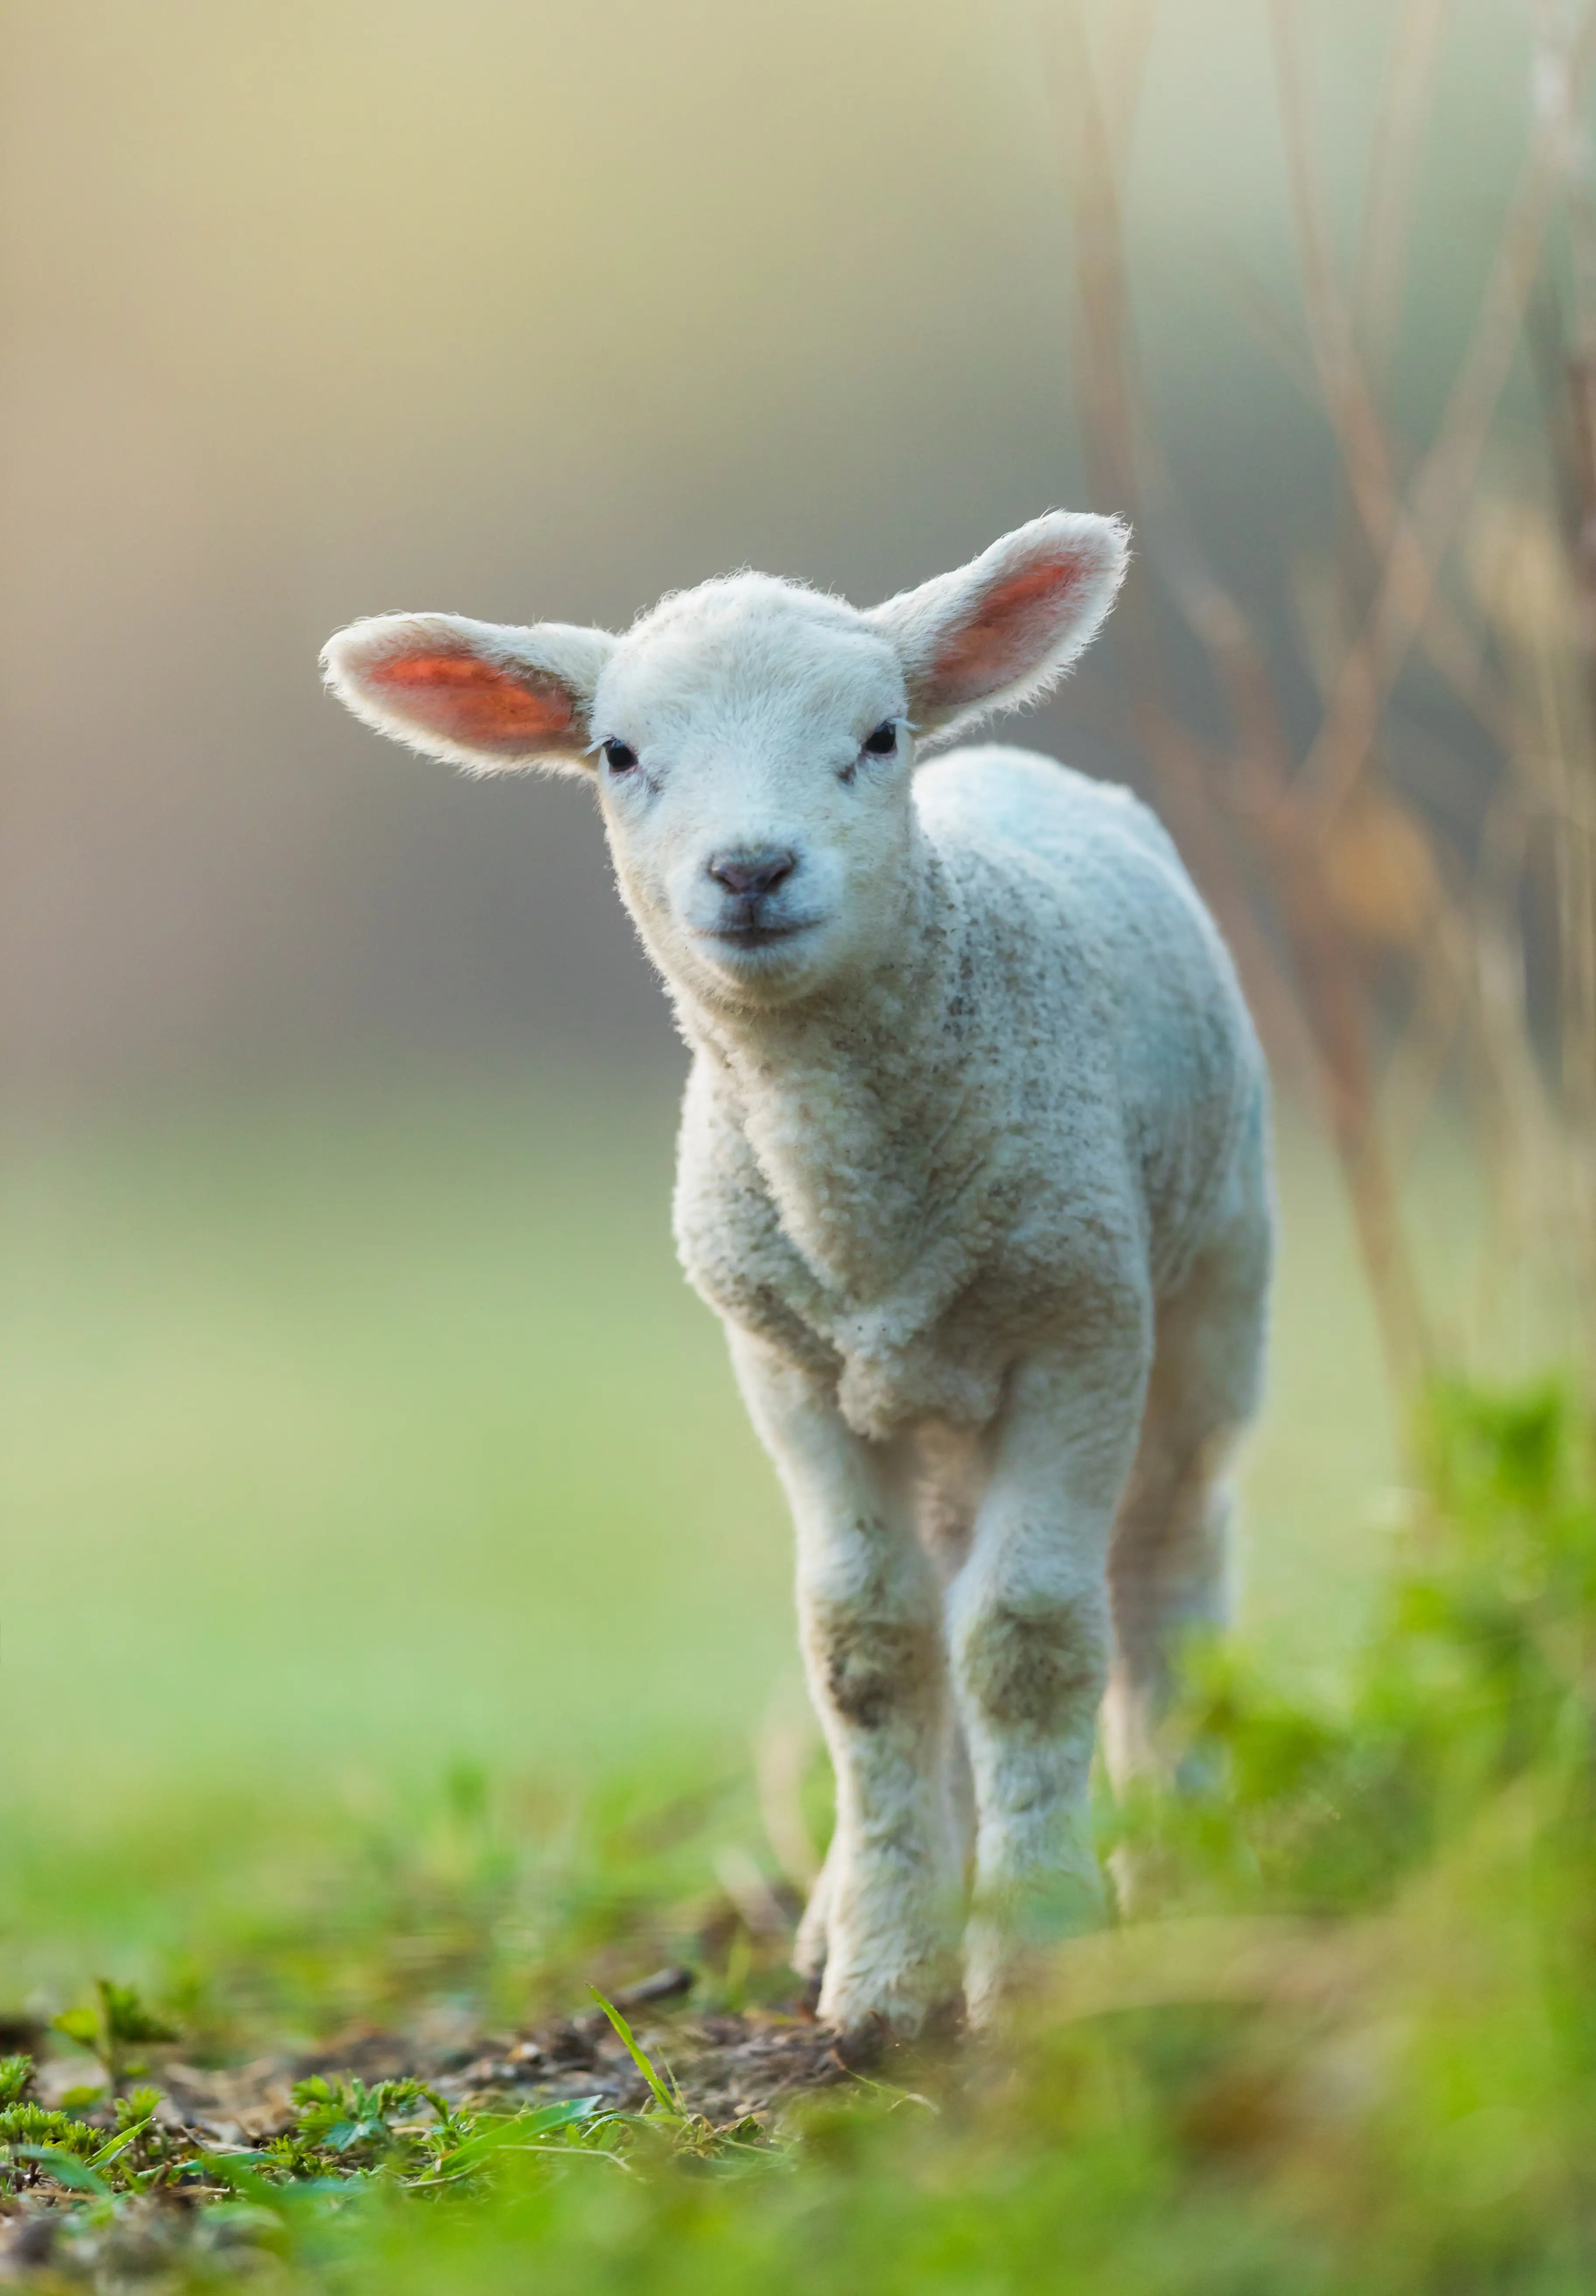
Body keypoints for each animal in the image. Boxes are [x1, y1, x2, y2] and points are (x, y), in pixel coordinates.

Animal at [320, 512, 1273, 2040]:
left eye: (876, 735)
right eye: (619, 754)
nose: (752, 869)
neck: (863, 1215)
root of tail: (1006, 760)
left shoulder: (1080, 1324)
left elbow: (1029, 1638)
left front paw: (1037, 1949)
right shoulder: (788, 1365)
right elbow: (870, 1644)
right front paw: (887, 1973)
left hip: (1210, 1291)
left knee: (1171, 1559)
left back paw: (1182, 1859)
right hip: (926, 1387)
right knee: (944, 1586)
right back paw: (868, 1900)